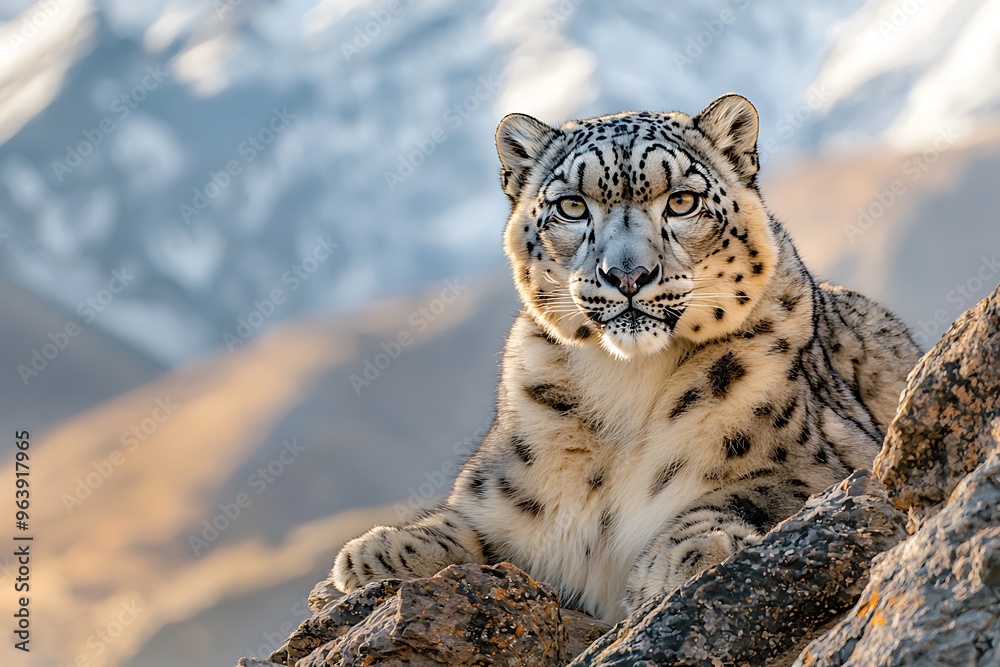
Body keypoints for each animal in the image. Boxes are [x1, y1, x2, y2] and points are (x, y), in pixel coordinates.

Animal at [330, 94, 921, 623]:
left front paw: (679, 558)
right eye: (572, 205)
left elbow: (748, 492)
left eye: (681, 201)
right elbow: (478, 524)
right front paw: (375, 553)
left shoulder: (821, 462)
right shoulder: (508, 497)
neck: (627, 383)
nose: (628, 274)